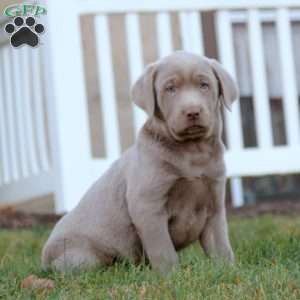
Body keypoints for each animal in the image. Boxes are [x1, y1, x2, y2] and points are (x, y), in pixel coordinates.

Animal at [42, 51, 239, 274]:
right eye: (170, 89)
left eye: (204, 85)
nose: (192, 111)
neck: (192, 152)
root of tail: (43, 259)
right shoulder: (147, 206)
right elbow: (163, 249)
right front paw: (171, 276)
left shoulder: (214, 203)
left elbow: (221, 246)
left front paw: (228, 271)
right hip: (82, 257)